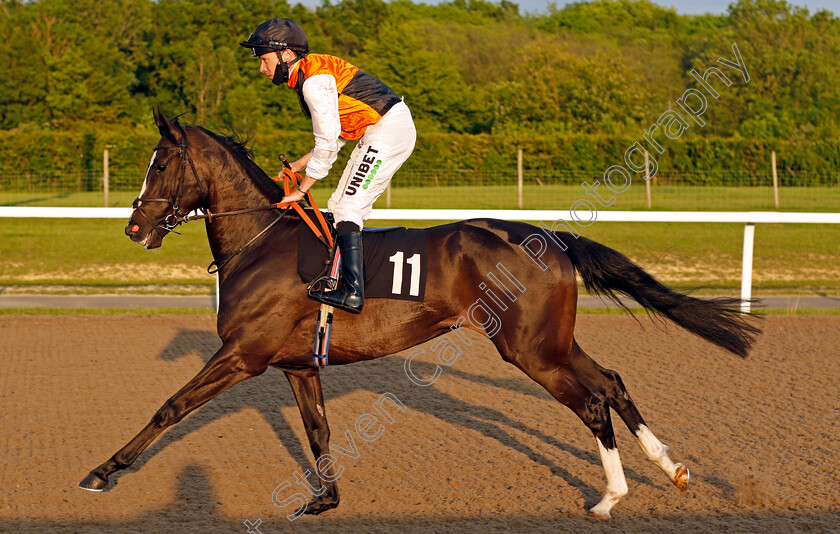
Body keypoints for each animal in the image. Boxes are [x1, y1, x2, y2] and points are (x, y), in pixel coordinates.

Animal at [79, 107, 760, 520]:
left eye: (160, 164)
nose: (134, 228)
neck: (262, 240)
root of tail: (551, 238)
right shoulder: (296, 365)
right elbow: (318, 429)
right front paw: (325, 499)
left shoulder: (243, 354)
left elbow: (170, 407)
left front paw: (102, 471)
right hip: (552, 341)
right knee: (612, 382)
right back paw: (671, 469)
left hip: (530, 348)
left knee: (592, 402)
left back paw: (607, 498)